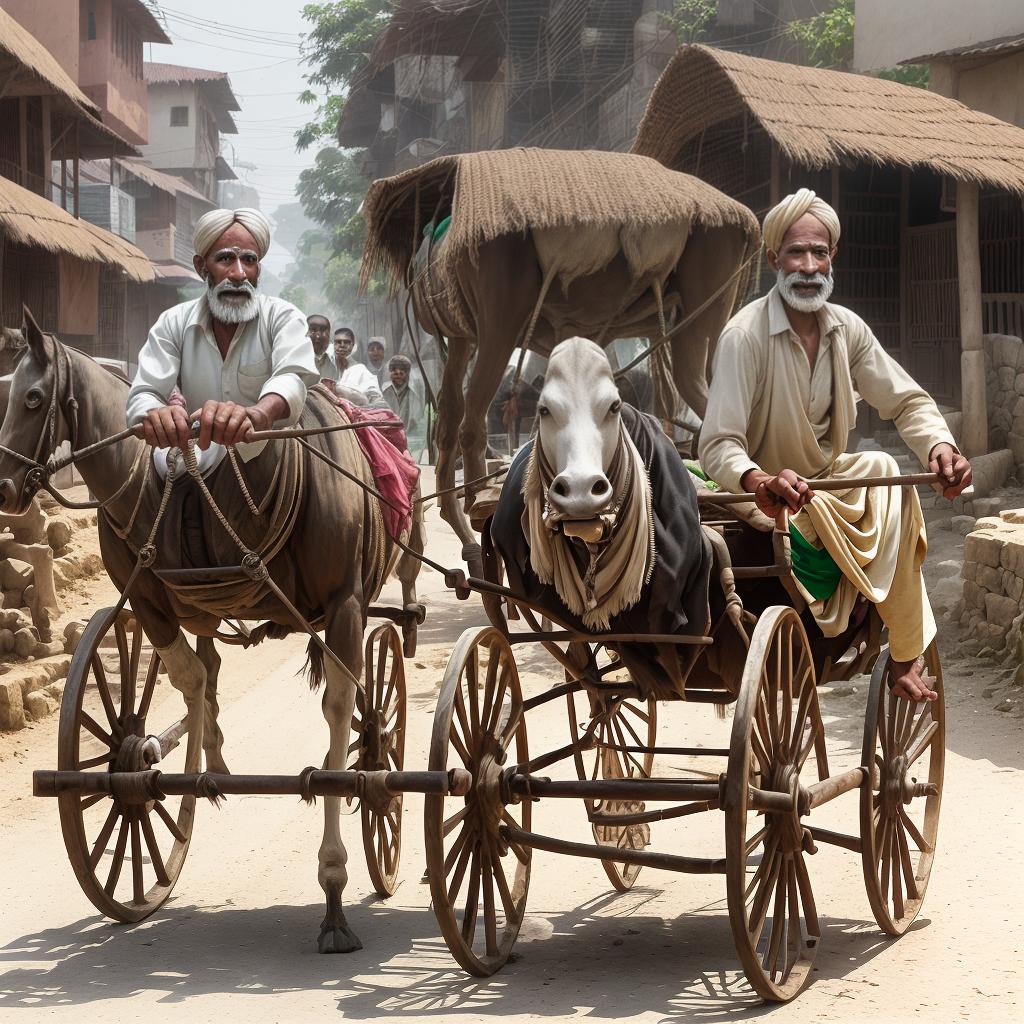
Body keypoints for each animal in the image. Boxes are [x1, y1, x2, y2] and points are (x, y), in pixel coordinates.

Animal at [0, 311, 423, 950]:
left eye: (31, 397)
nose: (2, 488)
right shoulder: (151, 603)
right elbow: (192, 678)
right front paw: (185, 772)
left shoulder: (343, 607)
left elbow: (333, 717)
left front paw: (333, 887)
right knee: (215, 668)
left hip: (346, 610)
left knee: (352, 702)